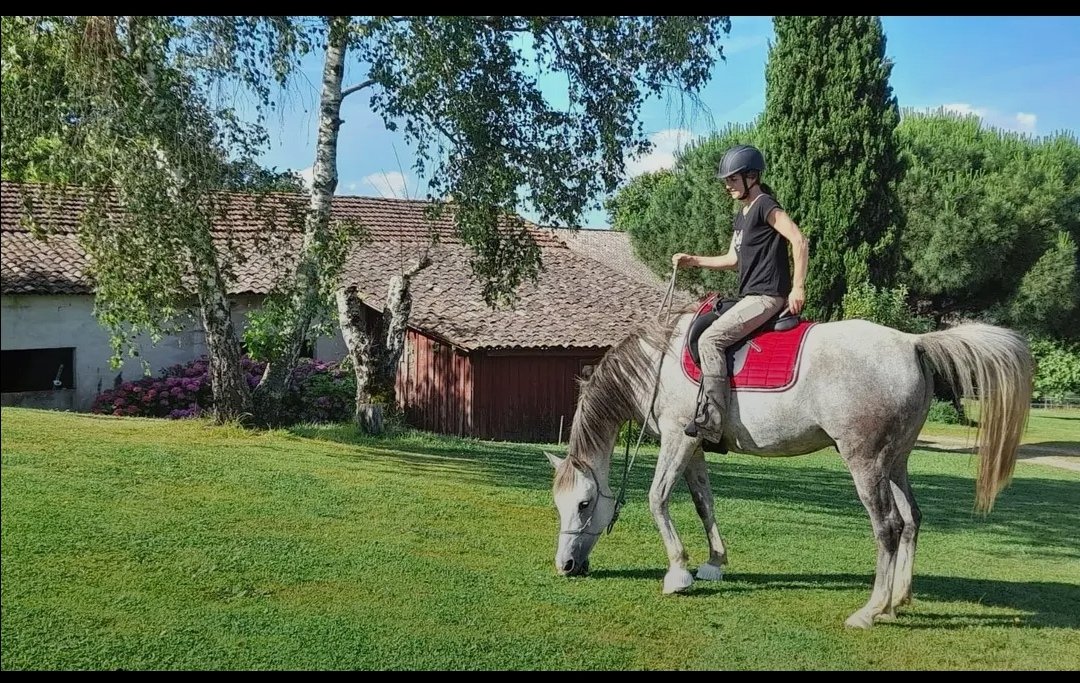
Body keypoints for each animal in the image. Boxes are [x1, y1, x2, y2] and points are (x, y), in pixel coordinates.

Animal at [546, 304, 1034, 628]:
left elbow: (657, 498)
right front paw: (714, 563)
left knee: (888, 527)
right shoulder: (695, 445)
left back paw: (871, 610)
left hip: (866, 461)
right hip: (896, 461)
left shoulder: (675, 438)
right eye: (560, 505)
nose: (565, 566)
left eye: (585, 504)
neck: (657, 364)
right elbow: (704, 503)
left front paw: (678, 573)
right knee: (912, 519)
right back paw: (898, 599)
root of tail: (912, 343)